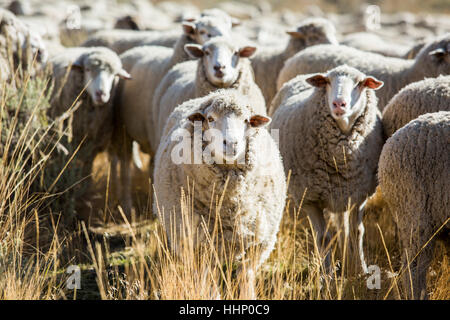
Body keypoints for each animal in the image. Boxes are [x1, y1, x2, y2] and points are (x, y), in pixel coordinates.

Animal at [48, 46, 131, 184]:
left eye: (114, 74)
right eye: (87, 69)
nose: (101, 94)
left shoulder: (93, 144)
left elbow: (88, 169)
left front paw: (86, 183)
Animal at [153, 88, 286, 298]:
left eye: (246, 120)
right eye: (210, 118)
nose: (231, 144)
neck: (231, 204)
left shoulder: (257, 243)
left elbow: (246, 276)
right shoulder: (203, 245)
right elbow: (210, 281)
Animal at [268, 65, 384, 272]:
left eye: (360, 83)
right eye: (328, 82)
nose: (339, 104)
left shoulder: (358, 195)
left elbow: (357, 231)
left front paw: (361, 270)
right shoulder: (310, 199)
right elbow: (323, 239)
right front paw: (327, 275)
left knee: (343, 226)